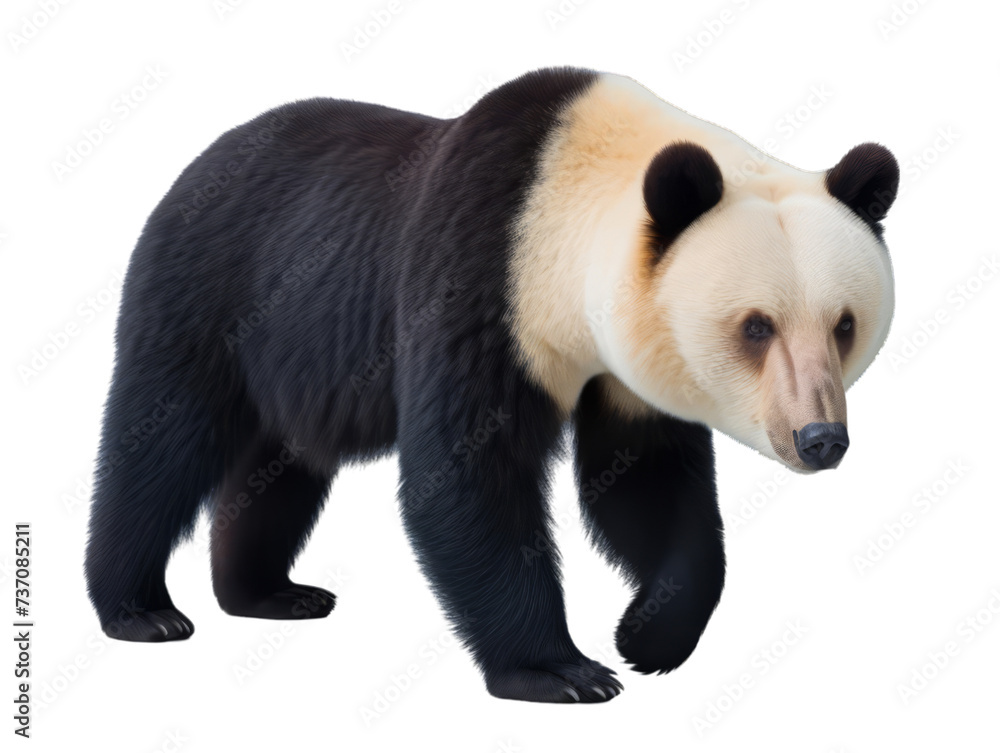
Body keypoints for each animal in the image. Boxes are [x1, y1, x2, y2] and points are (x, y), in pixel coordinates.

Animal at [85, 67, 898, 703]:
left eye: (843, 325)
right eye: (756, 327)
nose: (819, 439)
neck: (564, 183)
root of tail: (203, 156)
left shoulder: (626, 361)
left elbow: (647, 482)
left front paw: (646, 637)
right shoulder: (482, 272)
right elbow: (467, 474)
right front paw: (562, 671)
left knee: (279, 459)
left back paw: (267, 593)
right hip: (212, 283)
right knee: (164, 439)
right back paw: (141, 611)